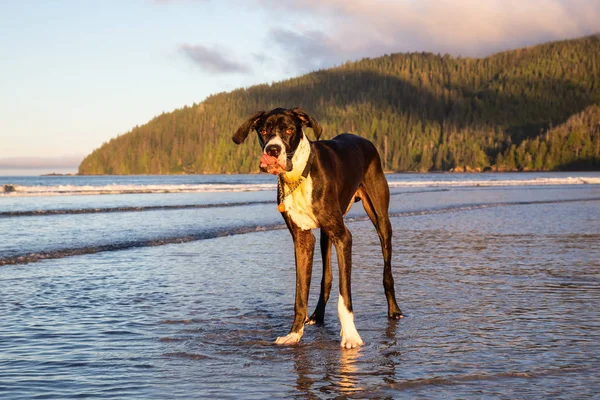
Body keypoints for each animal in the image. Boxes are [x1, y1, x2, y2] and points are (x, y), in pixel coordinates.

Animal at [233, 107, 404, 346]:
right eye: (264, 131)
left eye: (289, 130)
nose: (273, 150)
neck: (299, 174)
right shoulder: (302, 239)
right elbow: (300, 293)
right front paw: (294, 333)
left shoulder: (343, 236)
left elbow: (345, 296)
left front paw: (350, 335)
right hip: (326, 234)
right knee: (327, 277)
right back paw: (317, 315)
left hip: (381, 220)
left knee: (387, 269)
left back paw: (394, 310)